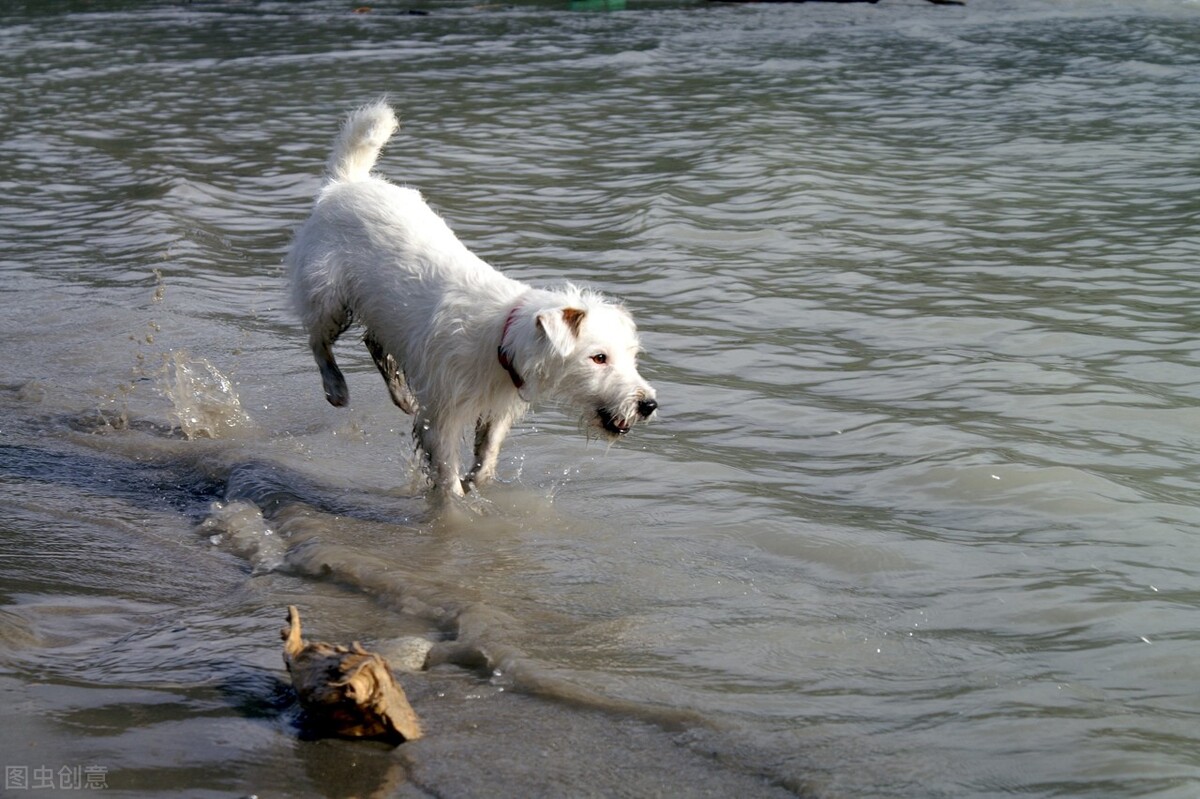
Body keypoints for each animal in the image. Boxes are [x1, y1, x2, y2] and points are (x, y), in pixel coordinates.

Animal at [284, 101, 657, 499]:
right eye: (598, 357)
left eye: (631, 356)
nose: (648, 404)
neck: (502, 342)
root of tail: (345, 183)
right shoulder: (443, 416)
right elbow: (447, 474)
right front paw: (456, 502)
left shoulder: (495, 410)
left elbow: (487, 456)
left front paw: (476, 484)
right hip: (326, 295)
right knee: (318, 339)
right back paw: (335, 386)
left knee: (373, 340)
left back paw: (401, 394)